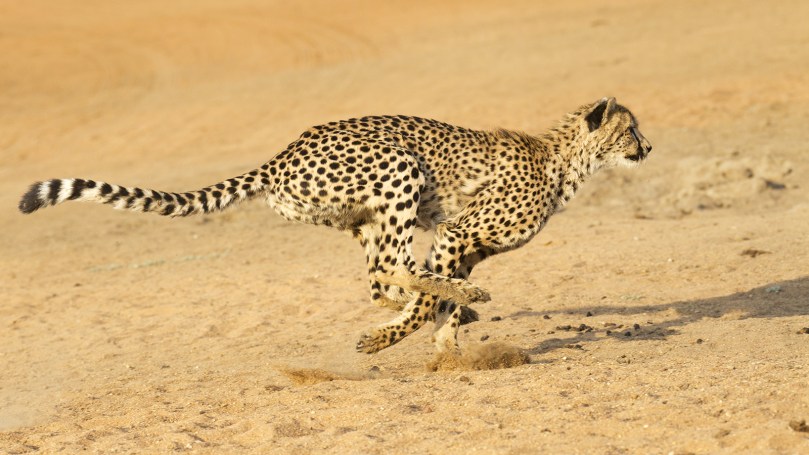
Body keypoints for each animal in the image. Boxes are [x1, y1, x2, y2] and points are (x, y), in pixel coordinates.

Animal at [19, 97, 652, 355]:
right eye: (630, 129)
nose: (648, 147)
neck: (565, 161)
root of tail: (282, 153)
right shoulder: (455, 235)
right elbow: (432, 296)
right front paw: (406, 337)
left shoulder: (464, 246)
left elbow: (434, 299)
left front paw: (447, 341)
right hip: (399, 170)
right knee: (393, 267)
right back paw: (439, 306)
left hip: (364, 216)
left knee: (378, 278)